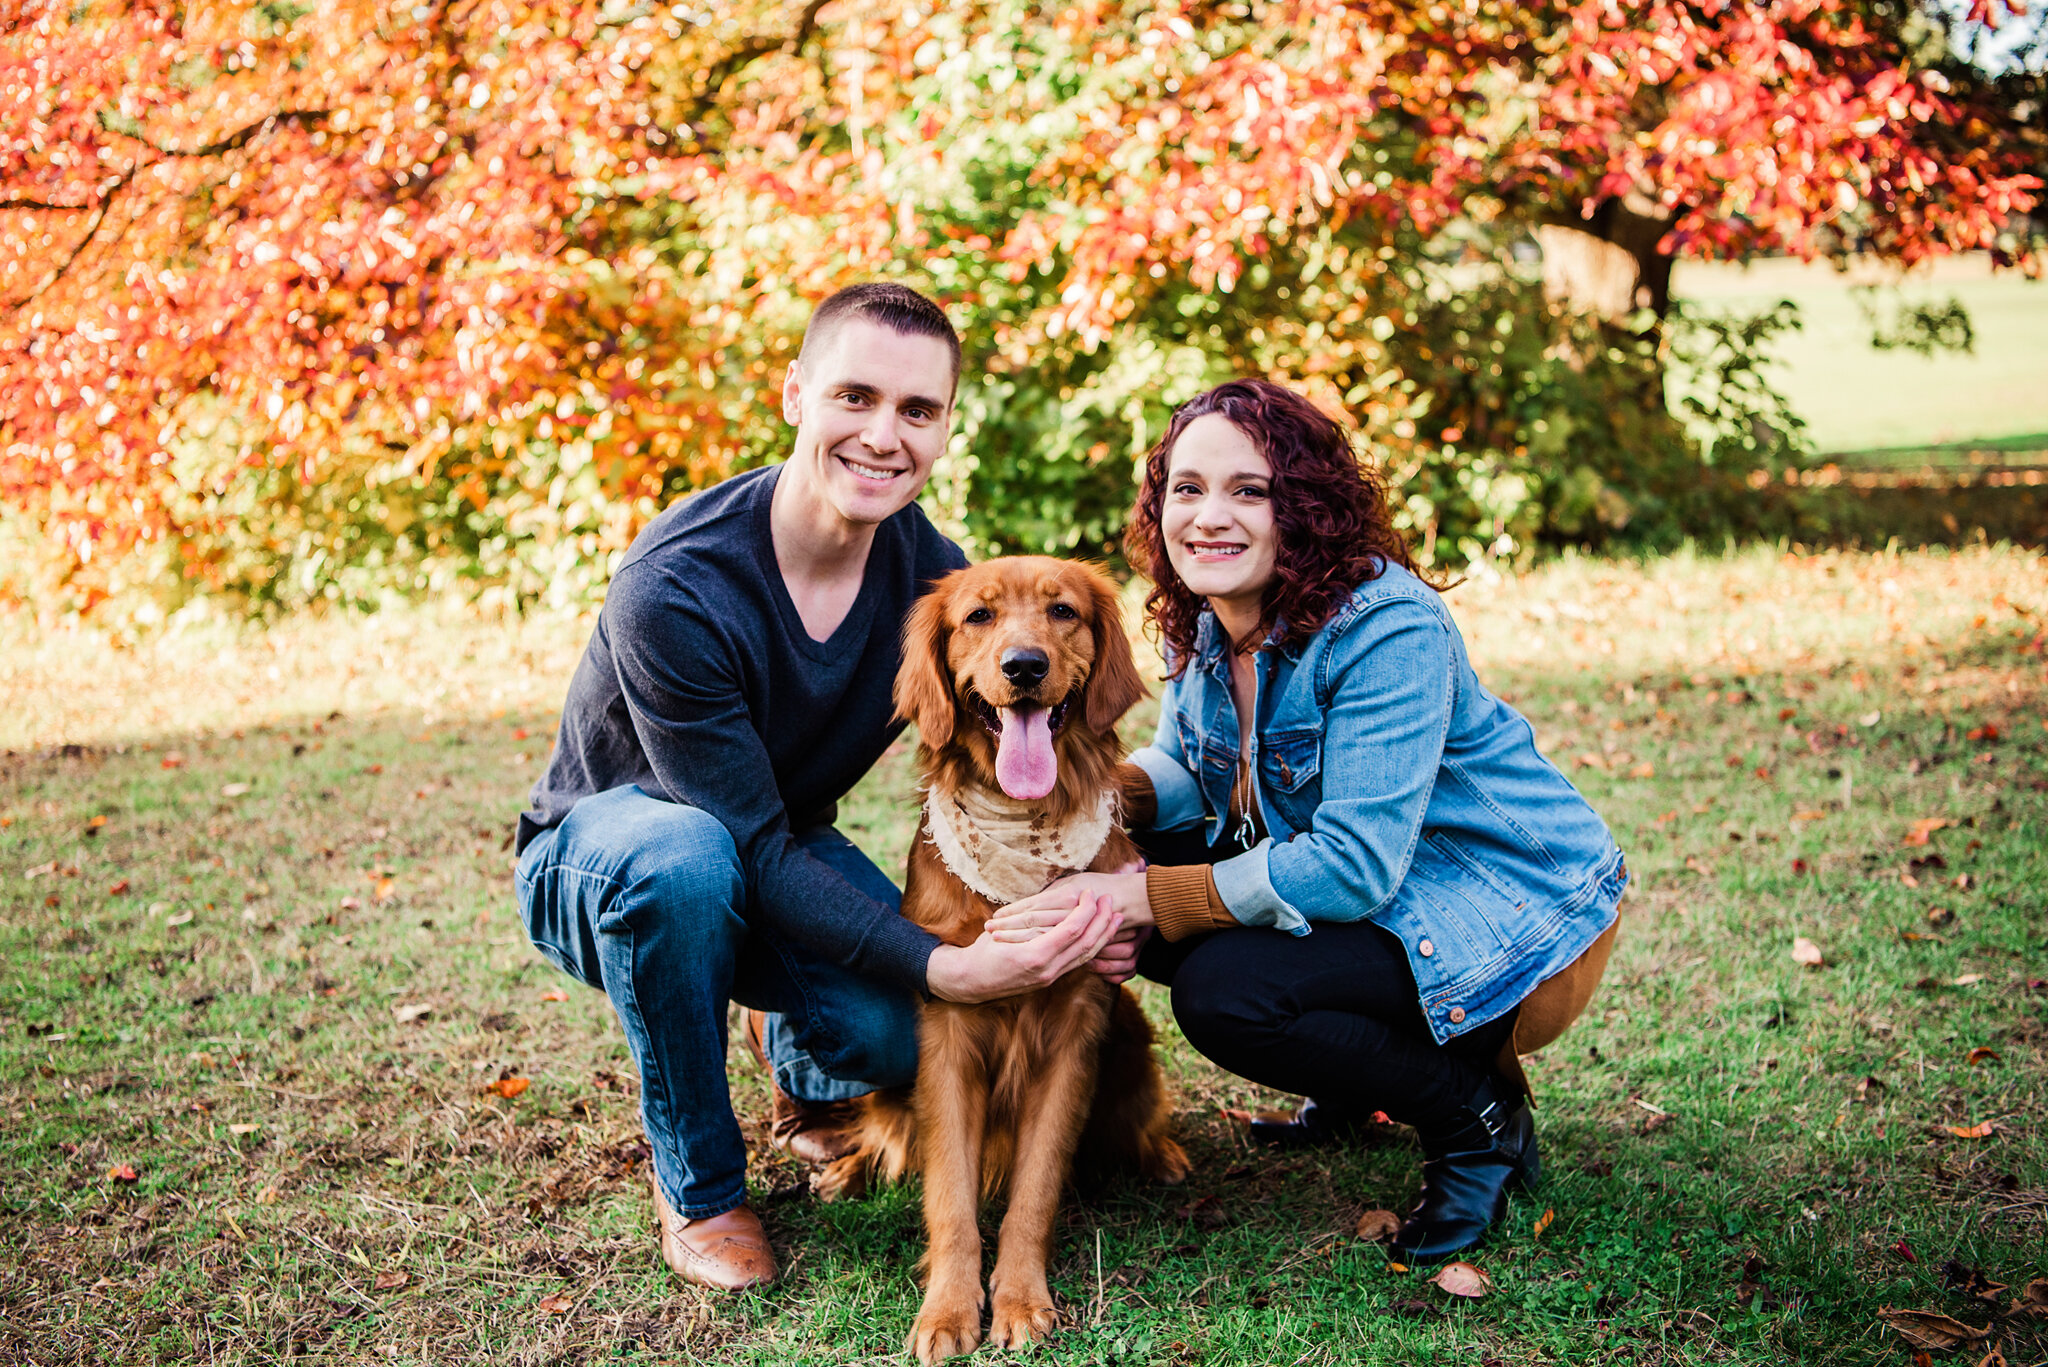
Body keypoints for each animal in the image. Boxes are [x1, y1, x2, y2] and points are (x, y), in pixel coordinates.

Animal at [815, 557, 1196, 1367]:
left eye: (1062, 611)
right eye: (979, 617)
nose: (1025, 666)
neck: (1020, 820)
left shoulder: (1075, 1034)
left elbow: (1035, 1188)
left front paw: (1020, 1299)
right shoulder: (948, 1035)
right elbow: (952, 1196)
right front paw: (948, 1310)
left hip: (1128, 1032)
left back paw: (1160, 1154)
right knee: (890, 1127)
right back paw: (851, 1166)